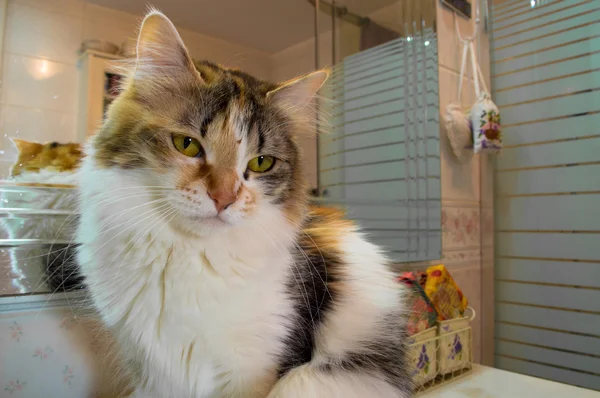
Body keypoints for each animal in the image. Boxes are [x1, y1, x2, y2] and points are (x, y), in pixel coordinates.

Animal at [76, 9, 412, 398]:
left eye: (261, 163)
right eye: (187, 145)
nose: (224, 197)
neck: (189, 257)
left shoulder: (257, 363)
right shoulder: (149, 370)